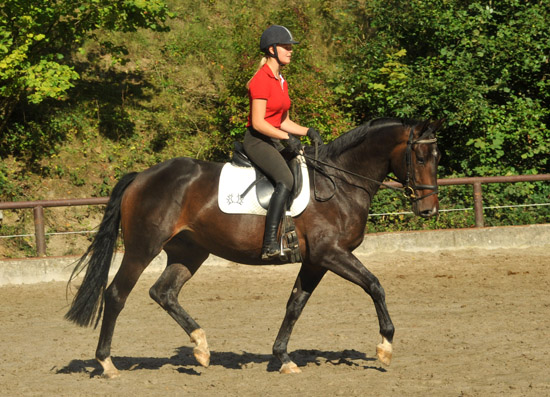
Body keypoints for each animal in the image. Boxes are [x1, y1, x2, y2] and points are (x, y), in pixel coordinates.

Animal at [66, 116, 444, 376]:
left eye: (436, 157)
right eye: (421, 157)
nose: (428, 210)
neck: (341, 182)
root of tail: (141, 176)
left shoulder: (315, 261)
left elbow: (295, 305)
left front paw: (283, 358)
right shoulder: (331, 254)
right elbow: (375, 285)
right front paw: (385, 346)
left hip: (190, 251)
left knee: (163, 292)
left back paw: (201, 347)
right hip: (142, 249)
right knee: (117, 294)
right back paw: (107, 363)